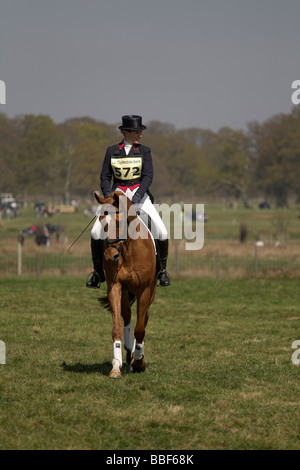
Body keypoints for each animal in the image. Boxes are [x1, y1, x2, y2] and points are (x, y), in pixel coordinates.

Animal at [95, 191, 157, 378]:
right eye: (101, 220)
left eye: (118, 222)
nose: (110, 256)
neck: (128, 250)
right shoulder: (115, 286)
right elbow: (117, 327)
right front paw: (116, 366)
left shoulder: (144, 290)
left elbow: (140, 329)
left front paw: (139, 362)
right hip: (125, 292)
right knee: (128, 318)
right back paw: (129, 355)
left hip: (150, 293)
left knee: (143, 319)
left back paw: (137, 357)